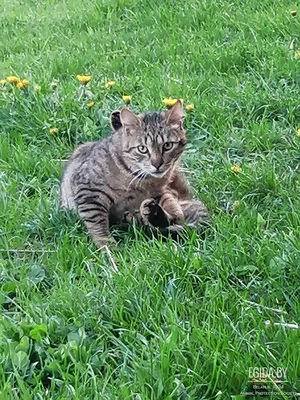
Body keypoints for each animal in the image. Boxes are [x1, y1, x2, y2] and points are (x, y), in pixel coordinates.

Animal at [58, 99, 209, 247]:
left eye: (167, 145)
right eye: (142, 149)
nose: (157, 164)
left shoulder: (160, 190)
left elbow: (168, 201)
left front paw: (173, 212)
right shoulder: (88, 192)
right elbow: (97, 223)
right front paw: (107, 245)